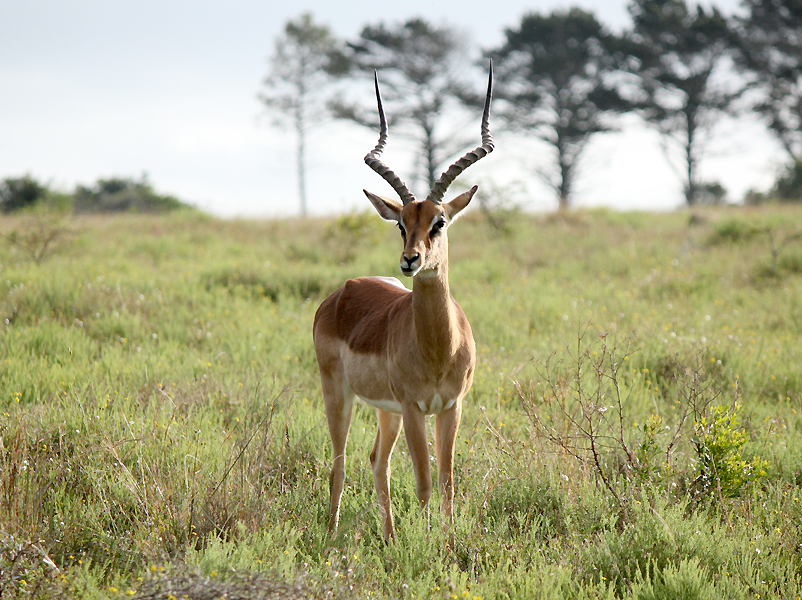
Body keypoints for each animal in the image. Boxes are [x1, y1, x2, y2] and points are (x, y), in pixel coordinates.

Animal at [313, 64, 494, 542]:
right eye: (401, 224)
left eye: (440, 220)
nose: (410, 260)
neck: (437, 349)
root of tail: (344, 290)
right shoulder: (415, 408)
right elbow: (425, 481)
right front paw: (429, 544)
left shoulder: (451, 407)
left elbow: (447, 481)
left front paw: (448, 544)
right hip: (339, 395)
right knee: (339, 465)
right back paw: (332, 536)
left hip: (384, 410)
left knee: (378, 463)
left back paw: (390, 537)